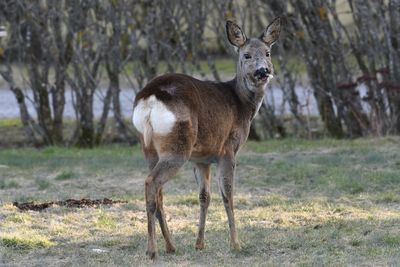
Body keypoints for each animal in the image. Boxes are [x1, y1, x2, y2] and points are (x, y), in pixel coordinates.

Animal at [131, 18, 282, 260]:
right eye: (247, 55)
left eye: (267, 53)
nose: (263, 71)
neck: (242, 104)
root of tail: (149, 98)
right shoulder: (228, 149)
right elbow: (227, 195)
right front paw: (236, 244)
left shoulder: (201, 158)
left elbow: (204, 197)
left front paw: (199, 244)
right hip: (177, 146)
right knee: (151, 183)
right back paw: (152, 250)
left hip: (149, 148)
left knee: (158, 191)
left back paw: (170, 246)